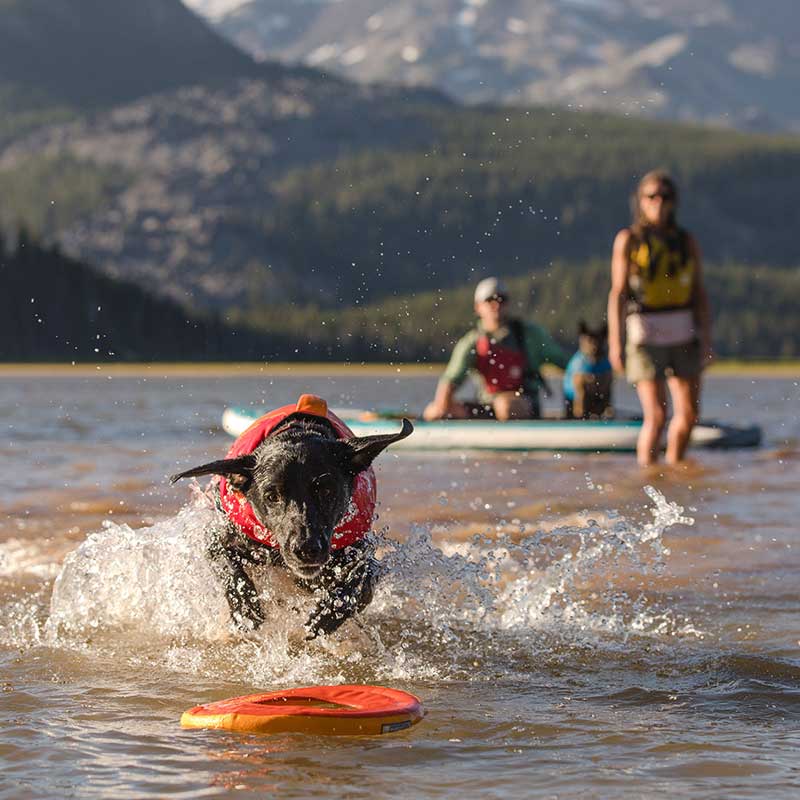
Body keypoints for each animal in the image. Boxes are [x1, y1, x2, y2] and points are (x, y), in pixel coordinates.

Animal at [173, 404, 412, 640]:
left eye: (326, 490)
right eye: (271, 496)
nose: (306, 549)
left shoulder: (361, 552)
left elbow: (360, 579)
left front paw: (327, 613)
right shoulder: (218, 540)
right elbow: (230, 569)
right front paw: (246, 610)